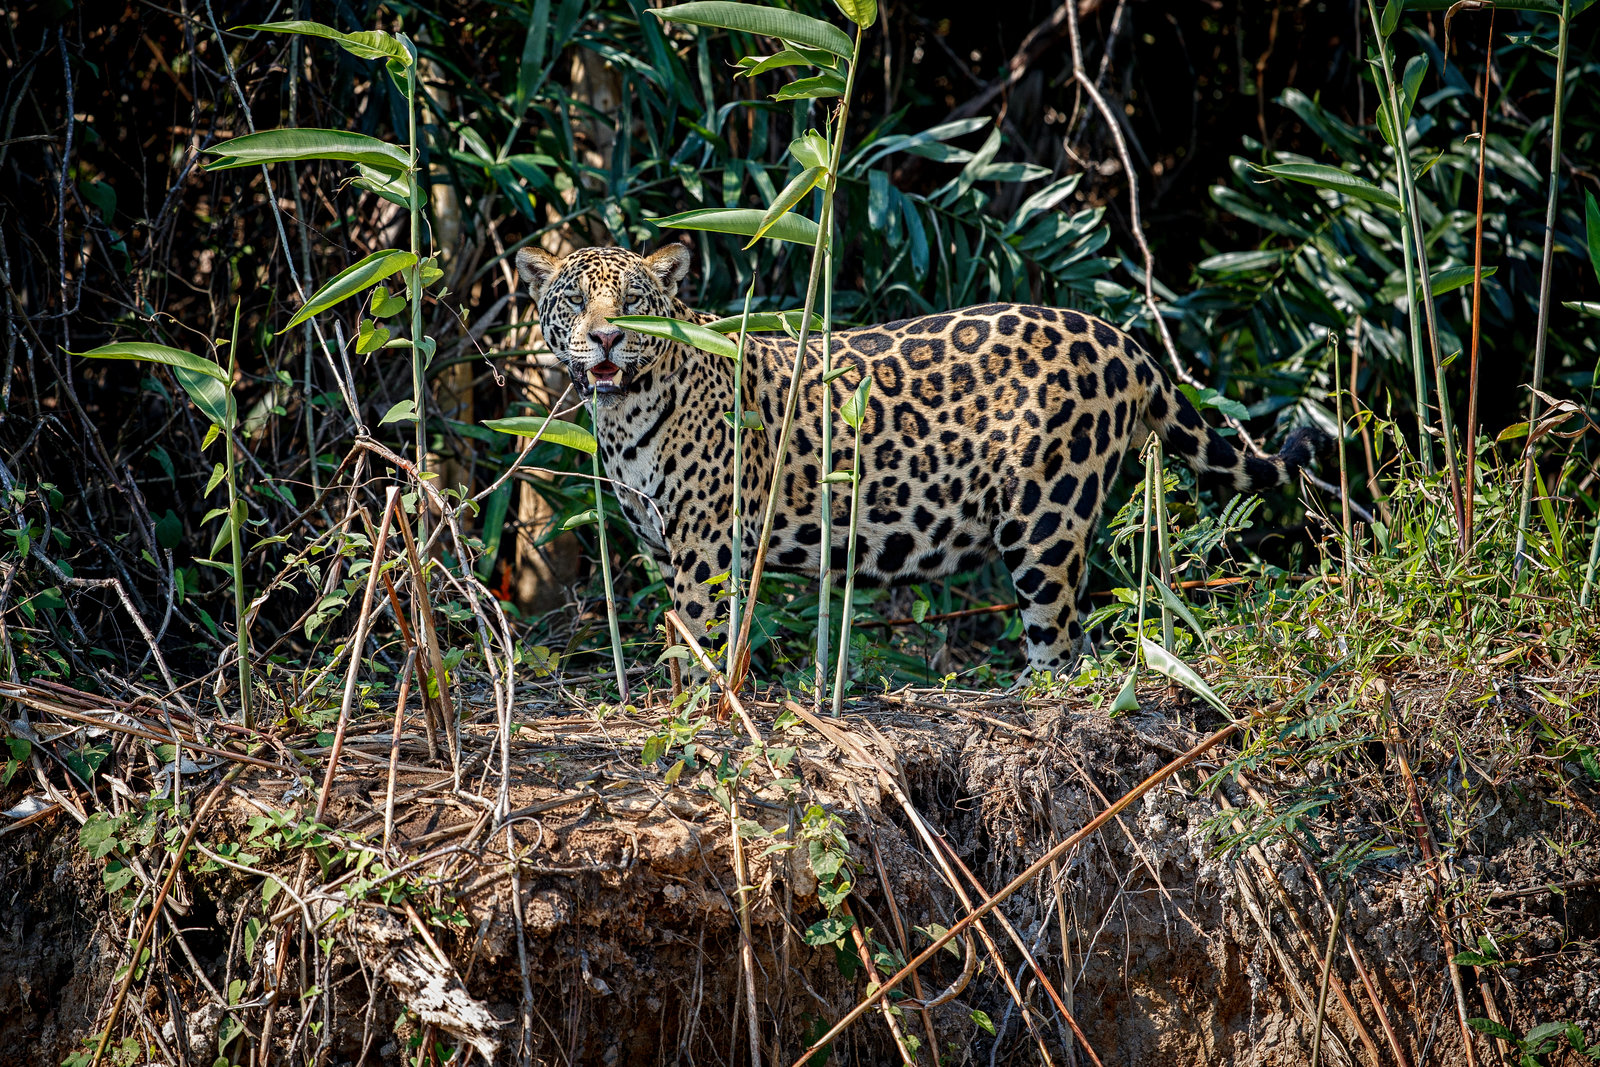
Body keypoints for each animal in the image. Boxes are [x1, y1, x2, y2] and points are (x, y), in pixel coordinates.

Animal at [515, 242, 1326, 675]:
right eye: (573, 300)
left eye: (634, 299)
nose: (607, 337)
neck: (623, 413)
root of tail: (1119, 336)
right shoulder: (662, 542)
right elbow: (684, 627)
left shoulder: (707, 543)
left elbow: (696, 627)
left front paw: (686, 706)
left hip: (1045, 517)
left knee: (1059, 639)